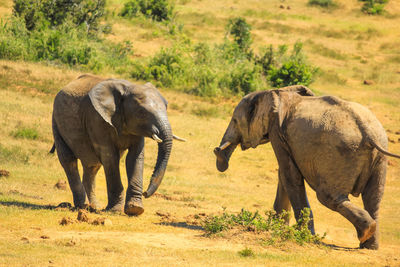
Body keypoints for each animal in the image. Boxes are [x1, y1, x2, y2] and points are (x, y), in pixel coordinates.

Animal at [50, 74, 186, 217]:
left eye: (166, 107)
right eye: (142, 112)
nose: (146, 193)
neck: (128, 88)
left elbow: (135, 157)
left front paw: (135, 209)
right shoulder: (97, 119)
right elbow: (110, 157)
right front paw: (115, 210)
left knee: (92, 166)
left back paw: (93, 207)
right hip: (56, 122)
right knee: (69, 161)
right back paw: (82, 206)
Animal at [214, 85, 398, 249]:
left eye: (235, 121)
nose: (217, 150)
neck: (276, 92)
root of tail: (367, 132)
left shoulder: (277, 132)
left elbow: (289, 175)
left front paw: (302, 235)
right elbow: (284, 174)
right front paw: (278, 227)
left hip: (341, 152)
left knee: (328, 196)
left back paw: (366, 233)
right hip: (379, 156)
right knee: (373, 198)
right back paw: (368, 245)